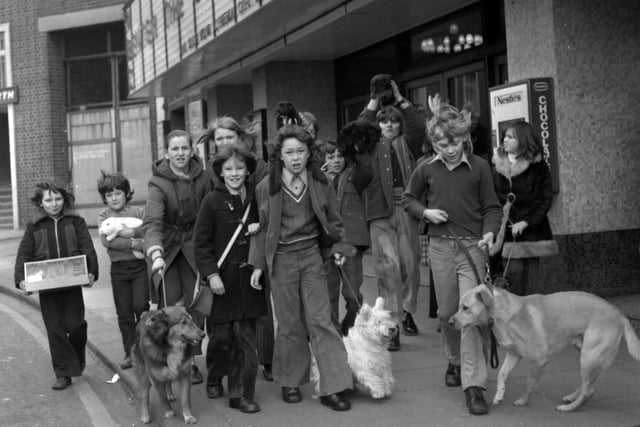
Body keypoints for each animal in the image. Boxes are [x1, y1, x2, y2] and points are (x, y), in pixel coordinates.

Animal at [448, 286, 640, 412]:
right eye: (459, 306)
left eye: (465, 308)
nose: (449, 322)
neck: (501, 314)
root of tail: (619, 314)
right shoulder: (513, 355)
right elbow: (502, 374)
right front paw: (499, 394)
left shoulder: (539, 360)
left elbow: (529, 383)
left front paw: (523, 401)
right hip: (586, 356)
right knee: (588, 383)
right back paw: (572, 397)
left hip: (589, 356)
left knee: (589, 391)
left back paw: (569, 407)